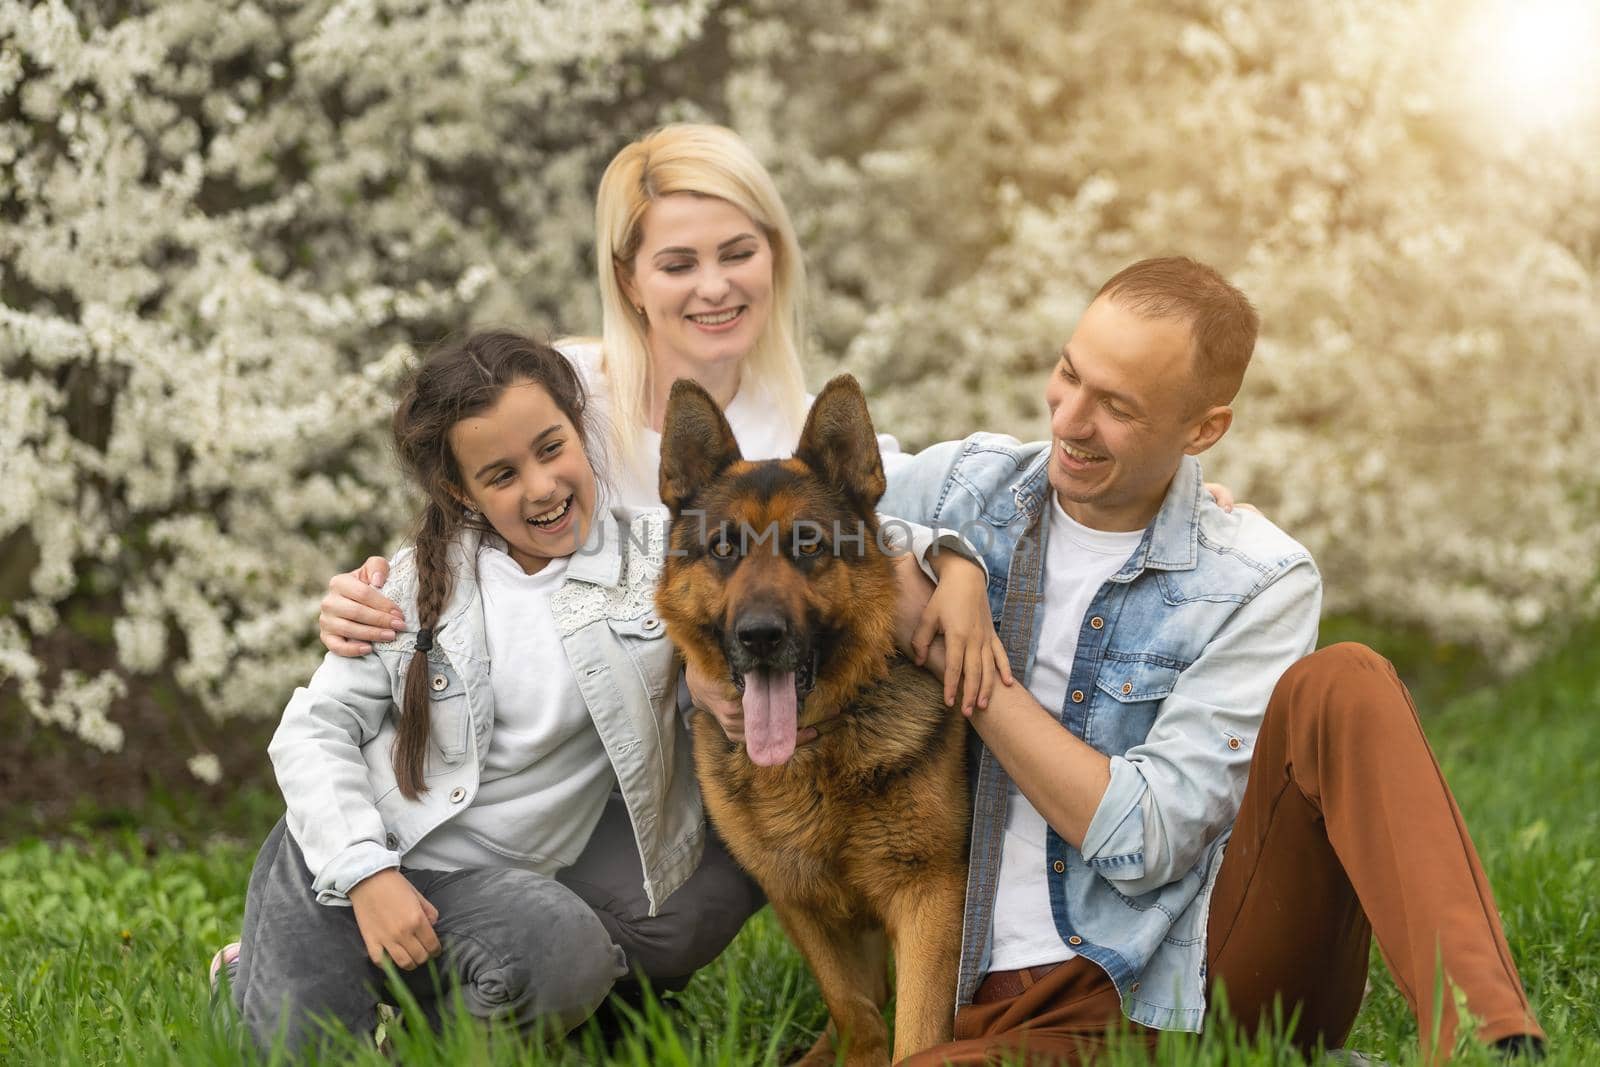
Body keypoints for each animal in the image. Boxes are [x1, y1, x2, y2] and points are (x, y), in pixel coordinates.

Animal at [656, 374, 966, 1062]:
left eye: (808, 546)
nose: (760, 636)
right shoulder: (798, 898)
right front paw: (856, 1052)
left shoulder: (930, 899)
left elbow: (916, 1034)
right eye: (724, 548)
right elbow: (857, 1010)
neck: (812, 751)